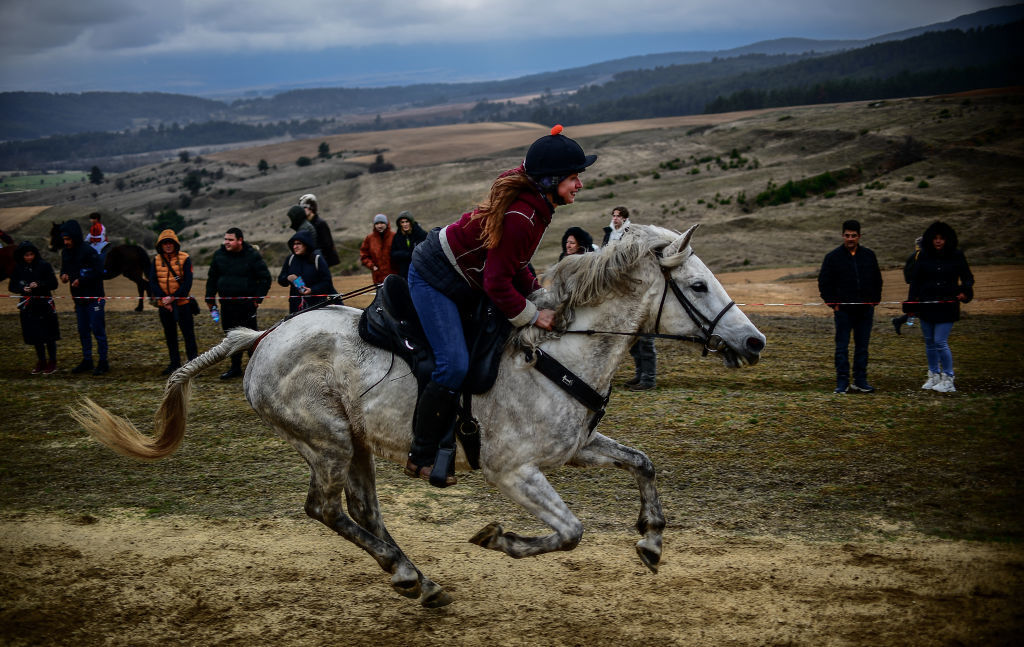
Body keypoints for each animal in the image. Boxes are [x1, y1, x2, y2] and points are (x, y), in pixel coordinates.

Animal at [75, 225, 765, 610]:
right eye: (697, 286)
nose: (754, 342)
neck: (558, 349)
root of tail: (263, 334)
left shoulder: (574, 450)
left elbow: (642, 464)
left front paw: (650, 539)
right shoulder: (514, 471)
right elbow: (570, 532)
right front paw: (501, 539)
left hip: (354, 444)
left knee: (361, 510)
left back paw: (415, 577)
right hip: (325, 442)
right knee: (326, 510)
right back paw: (409, 574)